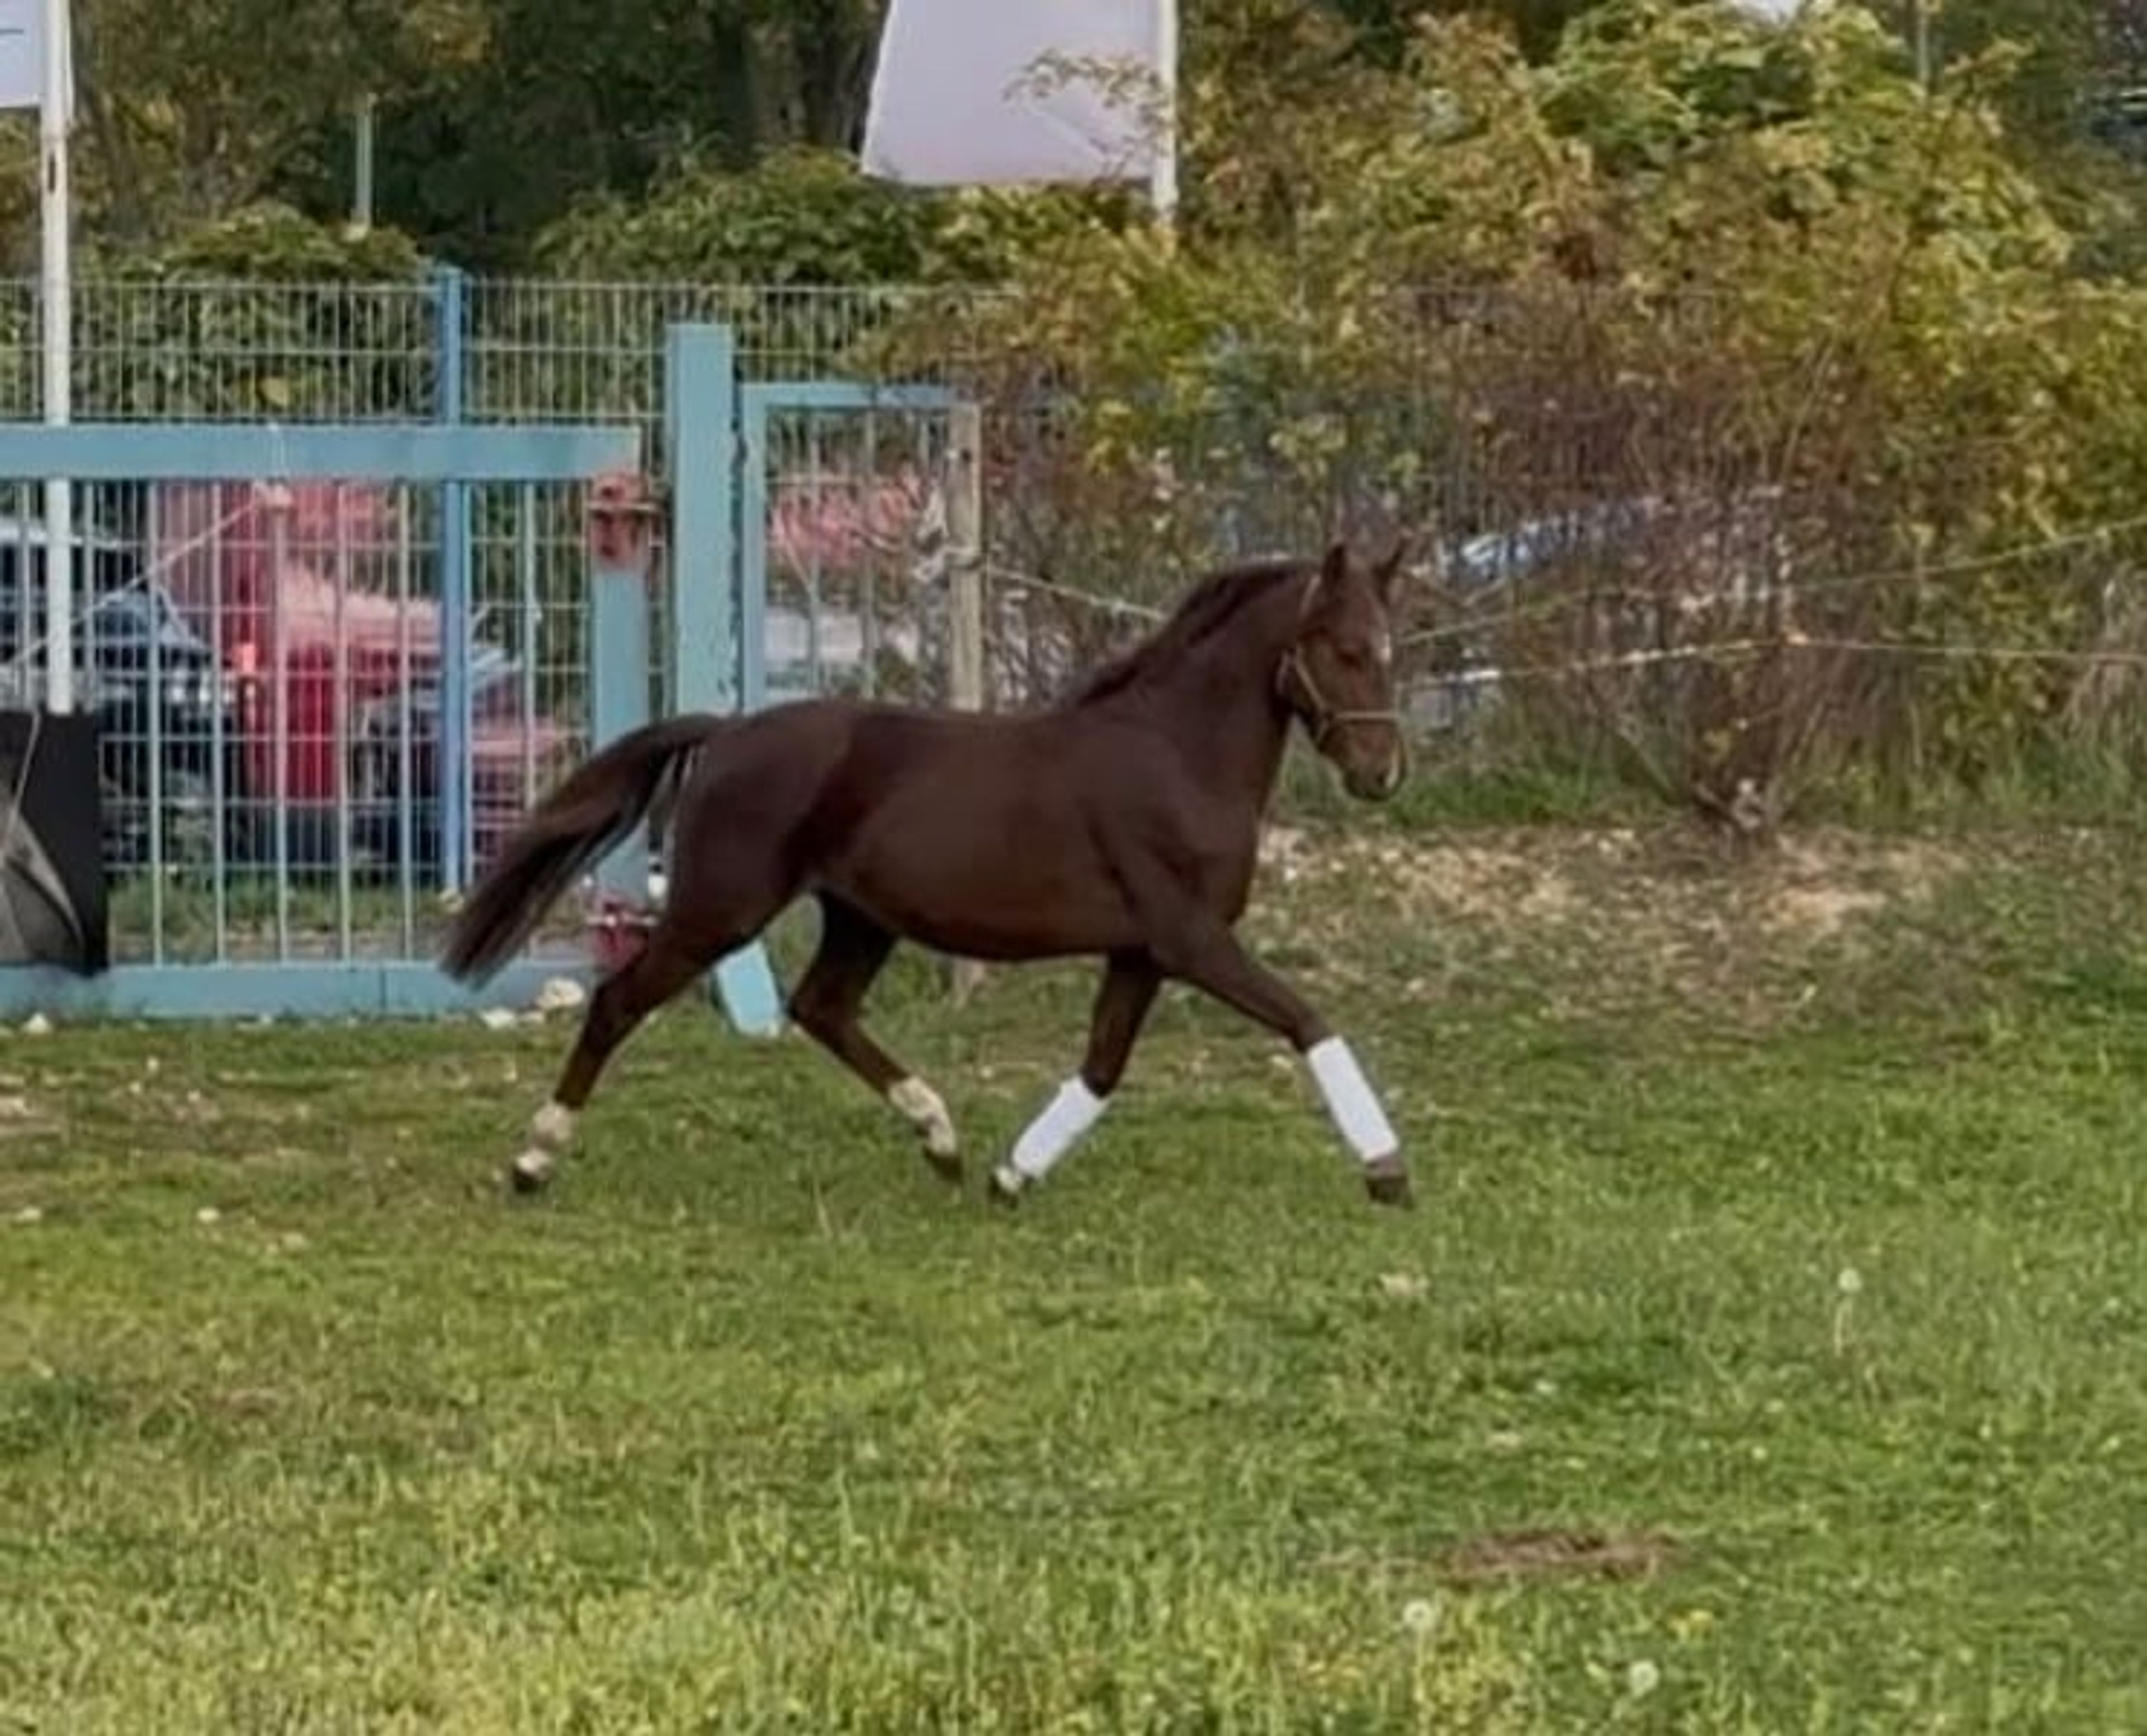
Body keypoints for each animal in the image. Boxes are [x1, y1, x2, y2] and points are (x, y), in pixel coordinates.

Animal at [439, 537, 1418, 1209]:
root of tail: (726, 732)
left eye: (1389, 645)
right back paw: (533, 1160)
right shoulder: (1190, 939)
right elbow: (1306, 1019)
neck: (1175, 755)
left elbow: (1103, 1067)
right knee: (619, 1003)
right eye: (1341, 648)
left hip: (860, 916)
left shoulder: (1141, 951)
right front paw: (1388, 1170)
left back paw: (942, 1139)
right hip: (720, 911)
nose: (1381, 774)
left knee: (822, 1008)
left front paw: (1011, 1175)